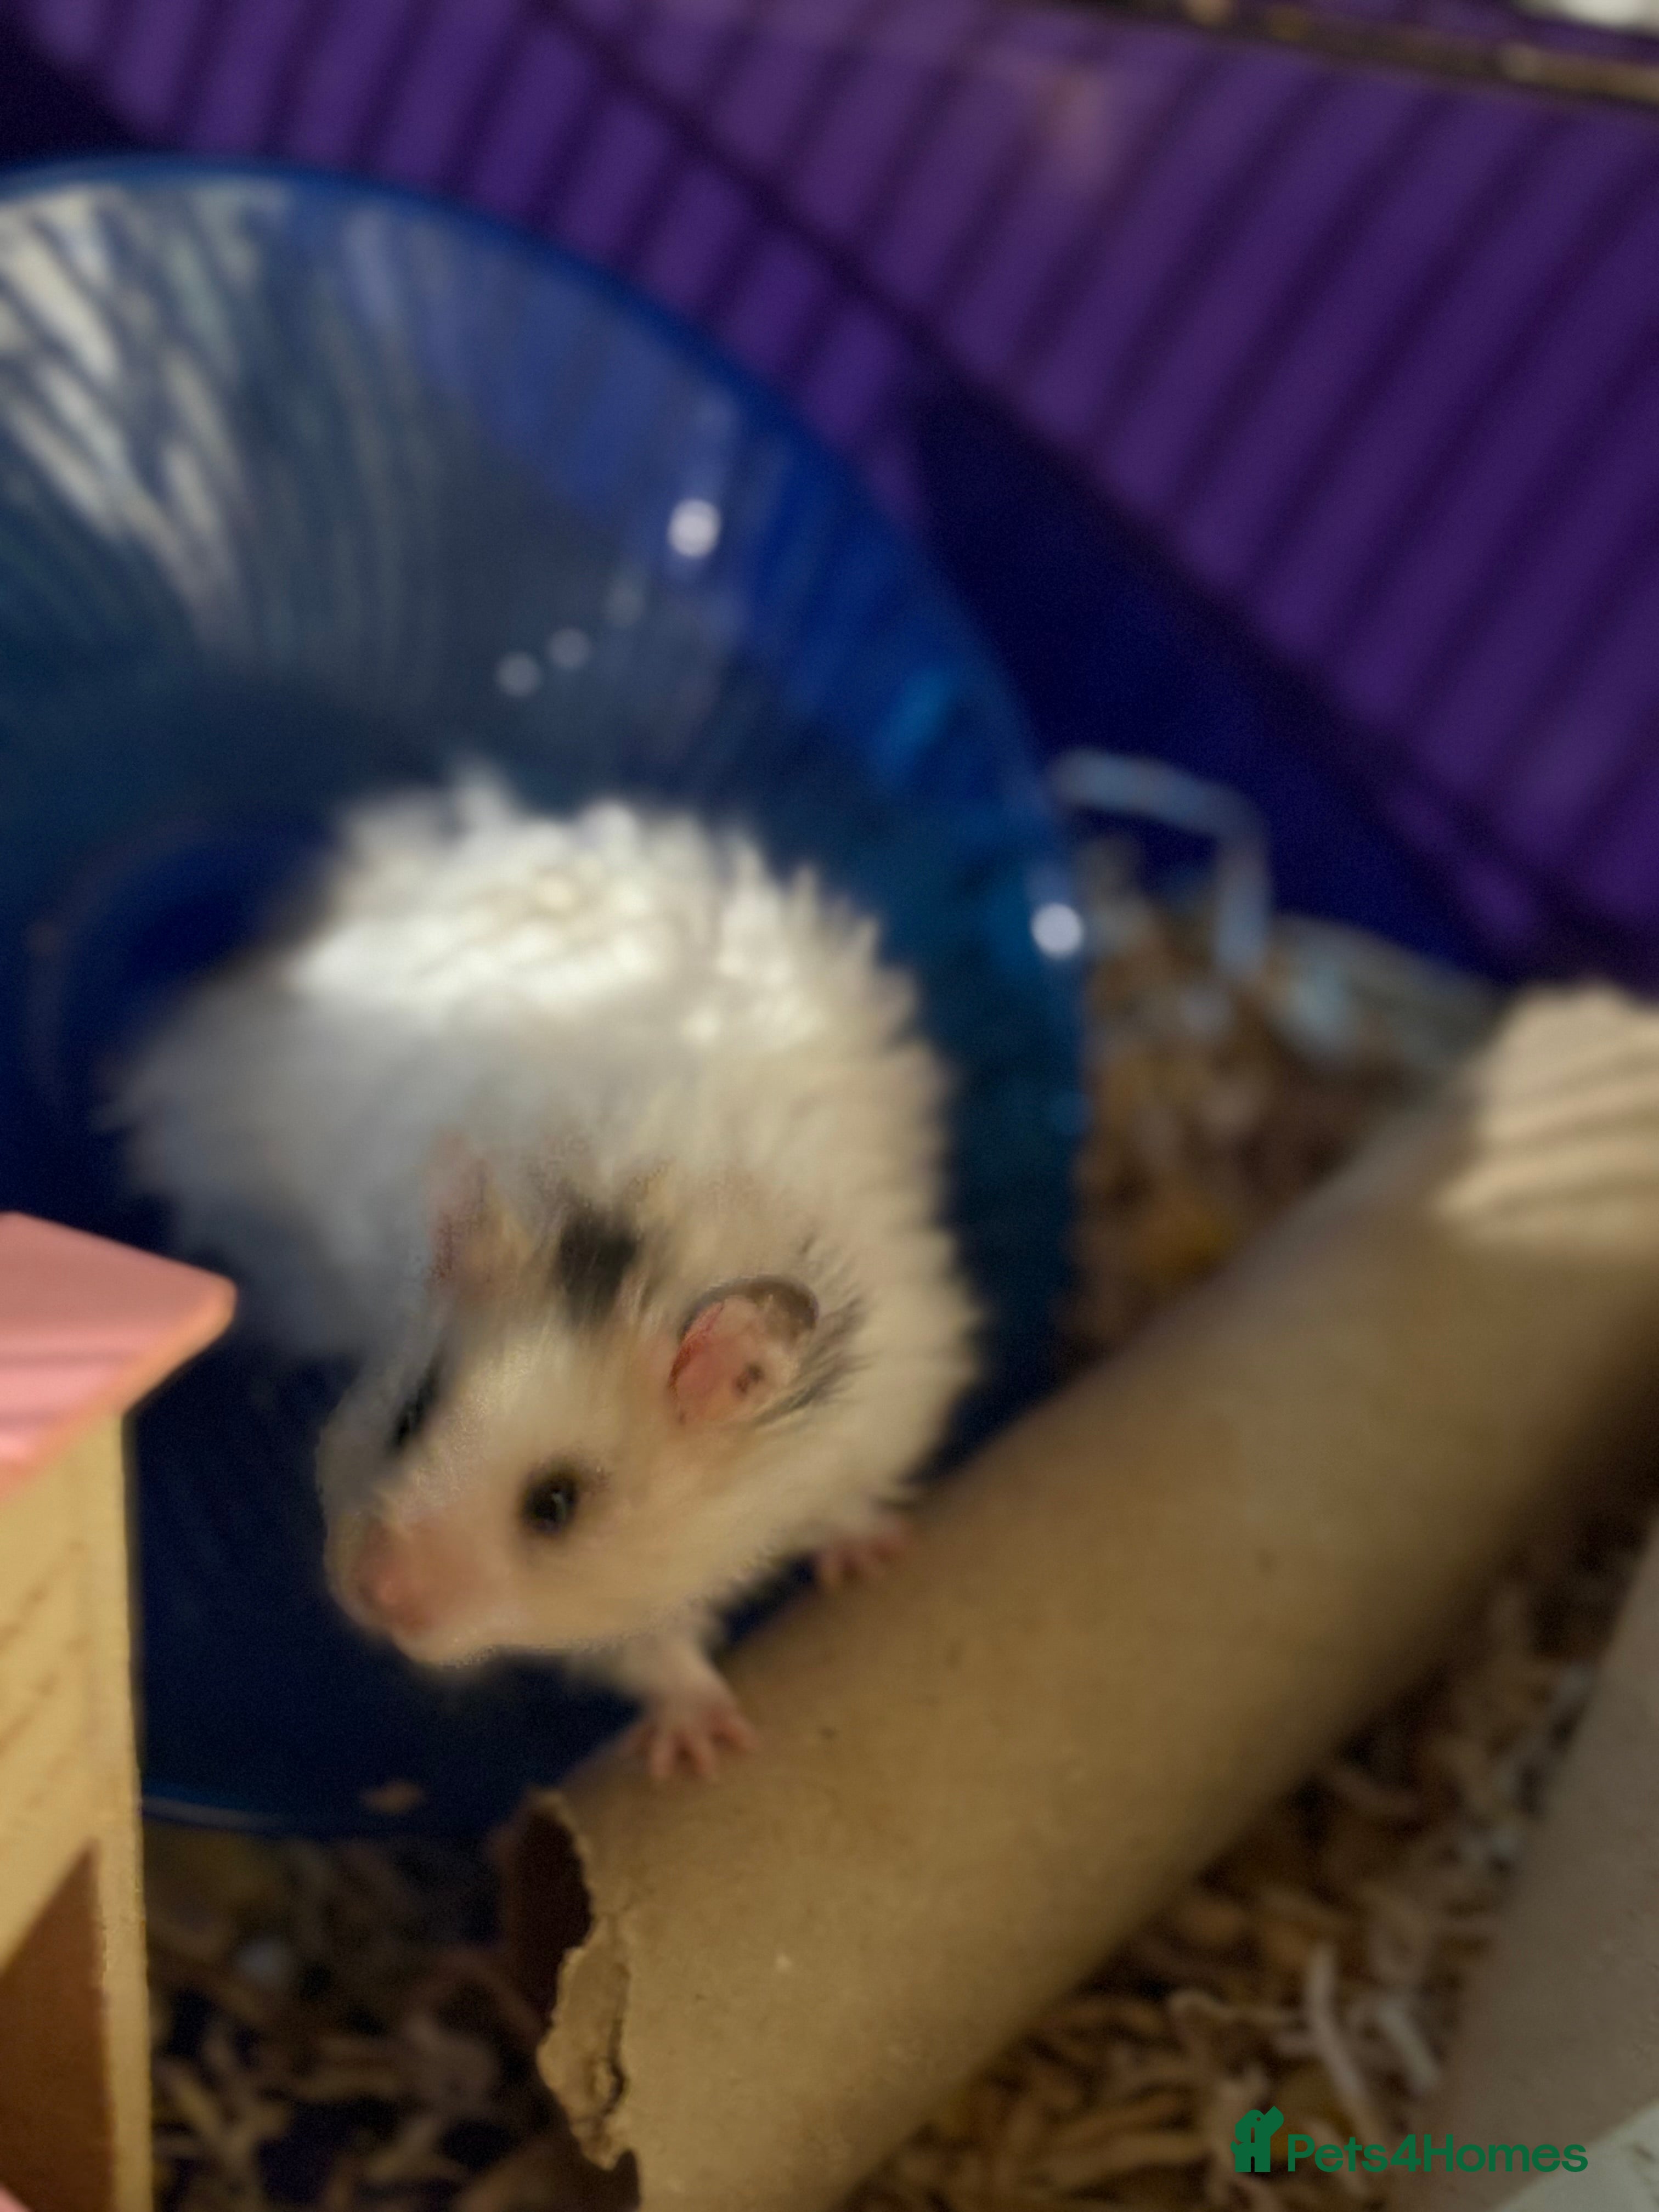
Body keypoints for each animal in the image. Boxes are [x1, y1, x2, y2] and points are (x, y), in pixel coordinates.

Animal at [110, 772, 980, 1779]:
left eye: (555, 1505)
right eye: (406, 1417)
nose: (371, 1594)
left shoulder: (879, 1408)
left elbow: (848, 1500)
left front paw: (876, 1555)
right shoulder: (615, 1615)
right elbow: (654, 1654)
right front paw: (702, 1749)